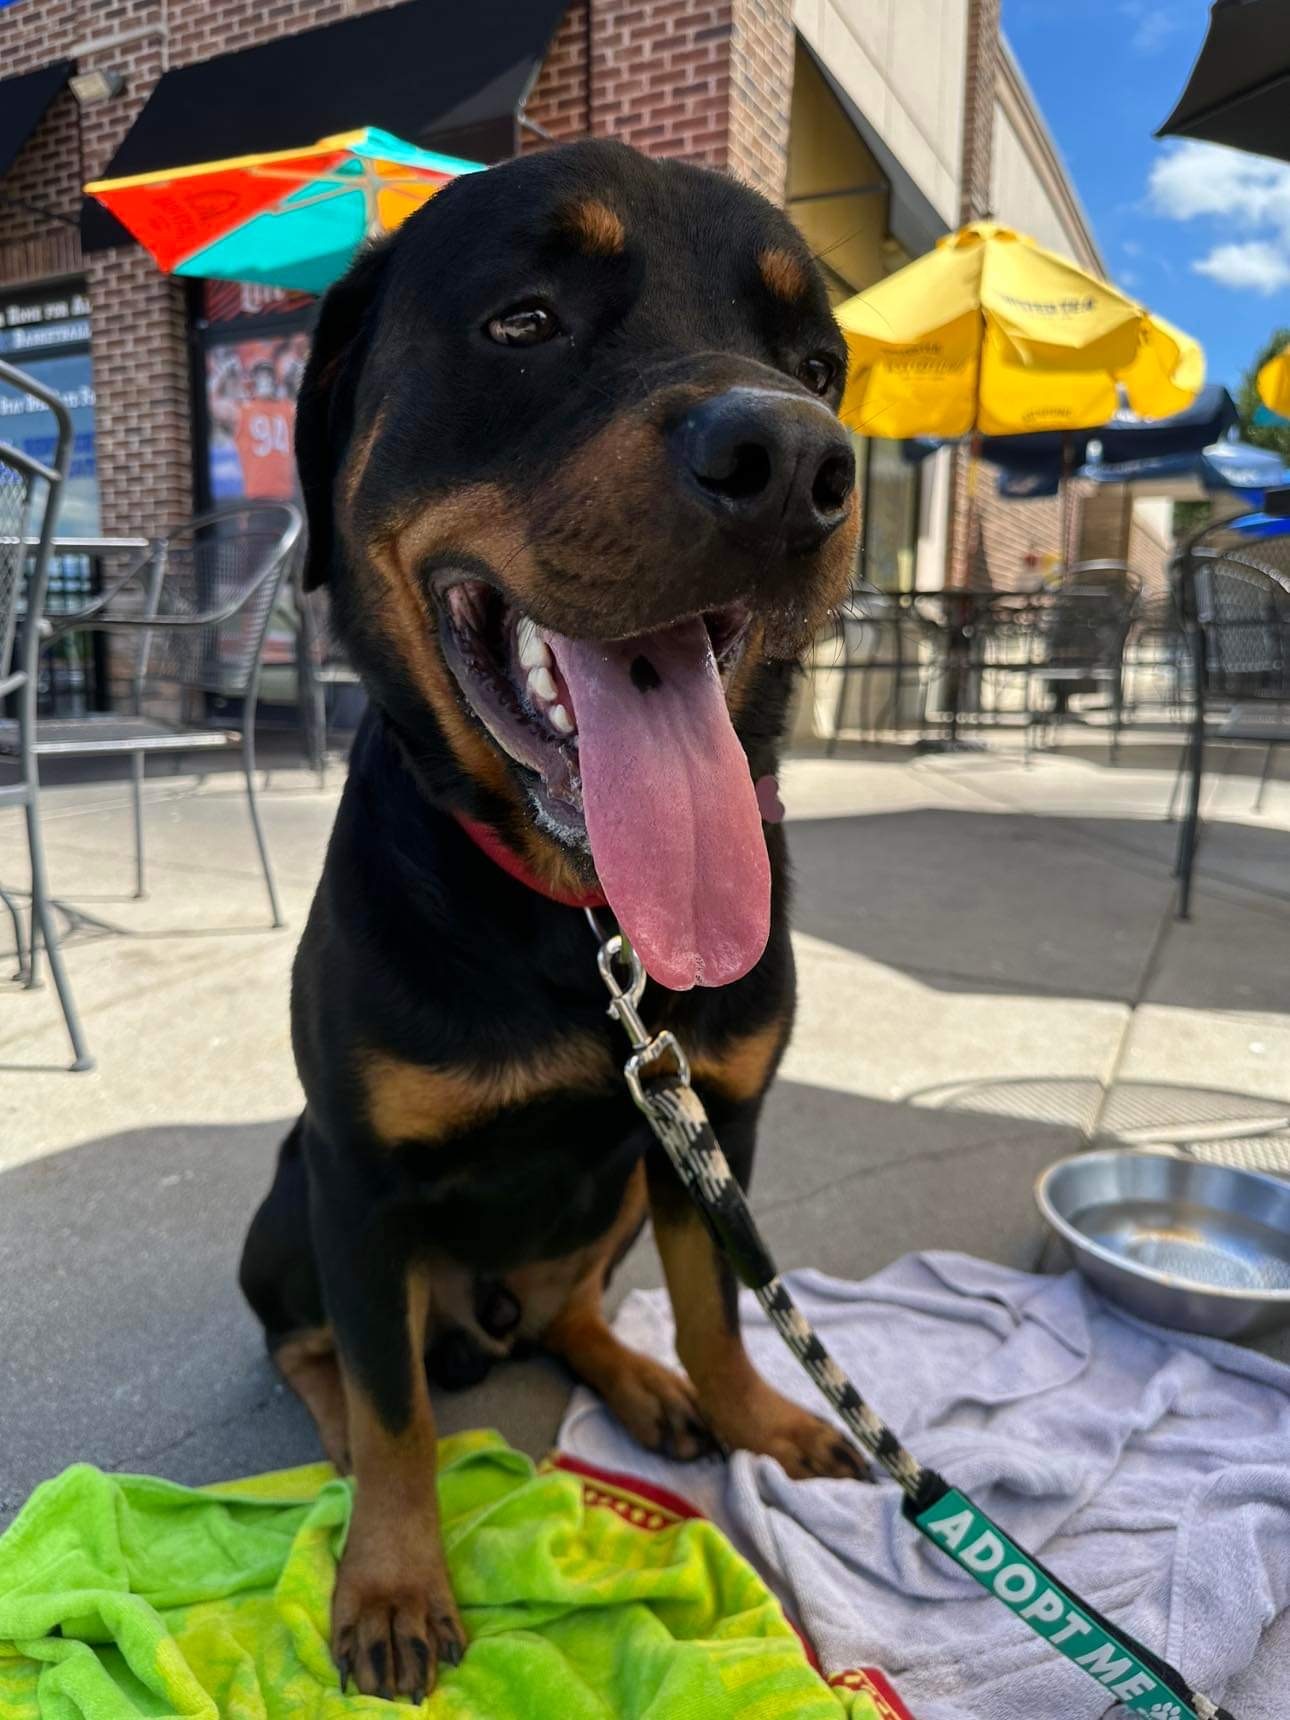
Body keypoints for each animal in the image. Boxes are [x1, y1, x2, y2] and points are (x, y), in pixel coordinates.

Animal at [240, 141, 870, 1699]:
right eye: (522, 320)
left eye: (818, 365)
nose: (794, 466)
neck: (583, 926)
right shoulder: (356, 1181)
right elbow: (397, 1411)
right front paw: (392, 1578)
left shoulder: (715, 1121)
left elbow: (715, 1303)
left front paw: (750, 1413)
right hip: (286, 1201)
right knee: (321, 1350)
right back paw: (337, 1430)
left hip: (626, 1185)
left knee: (581, 1301)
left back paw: (639, 1382)